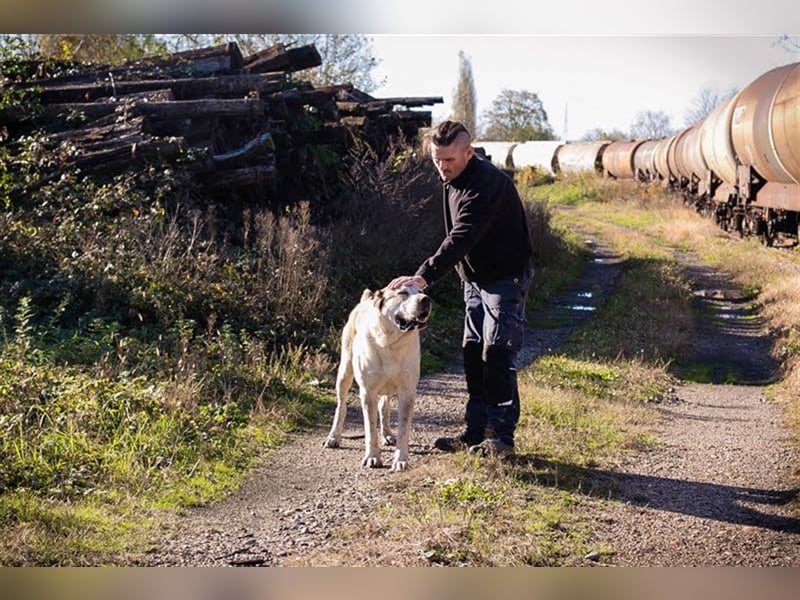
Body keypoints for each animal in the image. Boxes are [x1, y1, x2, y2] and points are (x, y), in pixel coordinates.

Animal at [322, 284, 432, 472]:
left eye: (421, 291)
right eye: (402, 293)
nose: (426, 299)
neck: (390, 342)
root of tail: (366, 299)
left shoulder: (407, 392)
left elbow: (403, 429)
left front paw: (401, 460)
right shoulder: (368, 393)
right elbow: (370, 429)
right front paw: (372, 457)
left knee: (384, 406)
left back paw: (387, 434)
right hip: (344, 372)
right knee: (341, 406)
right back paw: (334, 436)